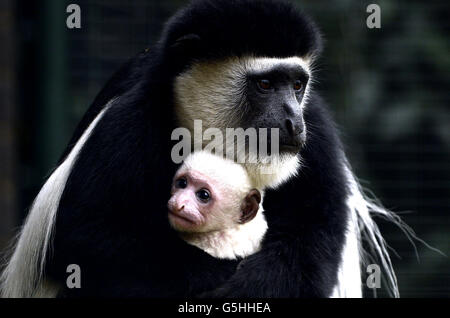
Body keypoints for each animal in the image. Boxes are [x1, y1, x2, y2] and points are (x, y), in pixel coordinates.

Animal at [0, 0, 400, 298]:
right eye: (265, 84)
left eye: (297, 84)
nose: (290, 121)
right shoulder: (127, 119)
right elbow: (81, 235)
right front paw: (219, 272)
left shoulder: (315, 128)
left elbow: (315, 239)